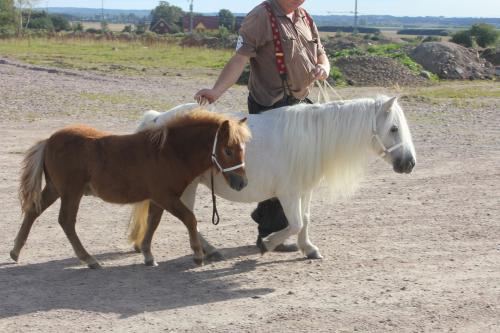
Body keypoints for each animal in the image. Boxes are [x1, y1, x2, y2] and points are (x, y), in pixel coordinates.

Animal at [11, 109, 252, 268]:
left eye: (243, 149)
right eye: (228, 150)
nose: (242, 183)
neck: (170, 152)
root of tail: (49, 140)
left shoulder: (158, 199)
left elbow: (153, 222)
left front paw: (147, 254)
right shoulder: (166, 197)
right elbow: (189, 219)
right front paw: (197, 255)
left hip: (55, 188)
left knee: (33, 212)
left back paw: (15, 251)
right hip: (71, 192)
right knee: (66, 221)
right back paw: (89, 259)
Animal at [130, 96, 418, 264]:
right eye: (393, 128)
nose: (410, 163)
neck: (313, 137)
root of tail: (158, 119)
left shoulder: (304, 191)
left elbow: (305, 220)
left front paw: (308, 248)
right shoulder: (288, 194)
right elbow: (295, 222)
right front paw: (268, 244)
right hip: (186, 186)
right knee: (186, 216)